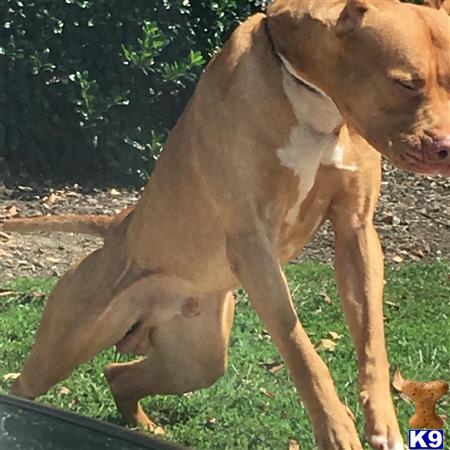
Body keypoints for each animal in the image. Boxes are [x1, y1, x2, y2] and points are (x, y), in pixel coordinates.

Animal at [4, 1, 450, 448]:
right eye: (404, 83)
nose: (445, 146)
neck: (315, 101)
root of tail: (117, 225)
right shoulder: (253, 244)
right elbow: (299, 347)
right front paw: (336, 429)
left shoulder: (355, 231)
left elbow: (372, 337)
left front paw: (383, 422)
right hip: (70, 340)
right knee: (26, 386)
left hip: (196, 358)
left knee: (120, 375)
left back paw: (144, 424)